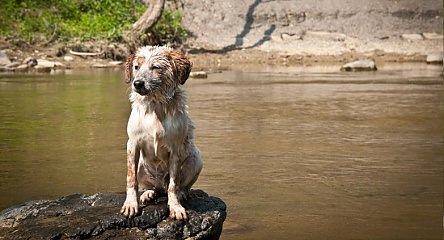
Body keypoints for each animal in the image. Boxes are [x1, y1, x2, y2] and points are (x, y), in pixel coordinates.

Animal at [121, 46, 205, 220]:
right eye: (136, 67)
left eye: (155, 67)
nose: (137, 83)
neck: (155, 106)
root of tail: (160, 184)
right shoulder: (132, 144)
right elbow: (131, 179)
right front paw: (130, 204)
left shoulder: (176, 149)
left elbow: (173, 184)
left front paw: (175, 207)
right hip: (142, 166)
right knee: (151, 186)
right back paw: (148, 193)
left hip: (196, 159)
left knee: (178, 186)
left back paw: (182, 194)